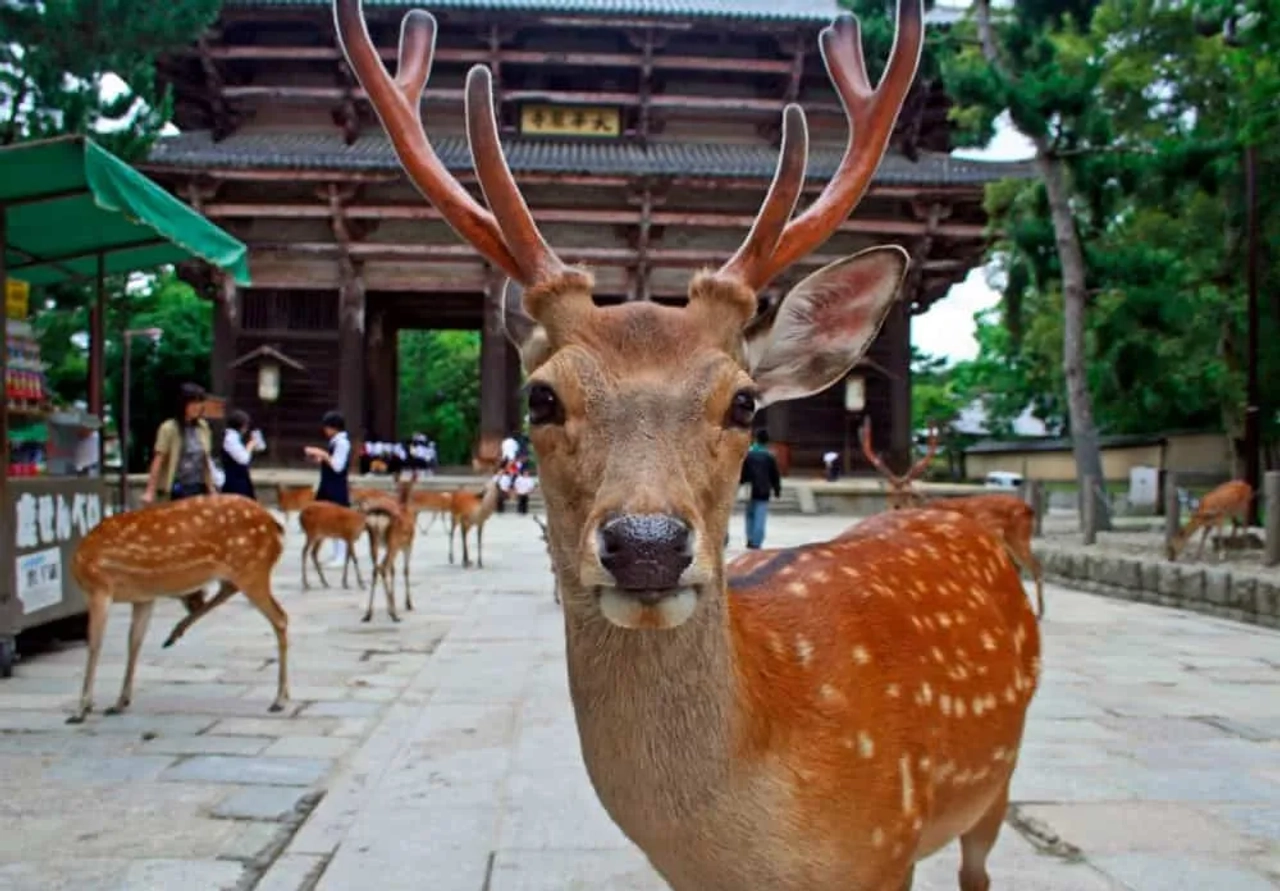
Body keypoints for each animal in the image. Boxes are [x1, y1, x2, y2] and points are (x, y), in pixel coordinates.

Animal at [67, 494, 290, 724]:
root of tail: (275, 527)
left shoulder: (99, 587)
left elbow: (95, 645)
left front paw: (81, 709)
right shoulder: (143, 598)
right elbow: (134, 642)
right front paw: (120, 702)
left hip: (252, 568)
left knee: (280, 617)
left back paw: (279, 699)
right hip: (243, 571)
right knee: (229, 590)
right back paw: (174, 634)